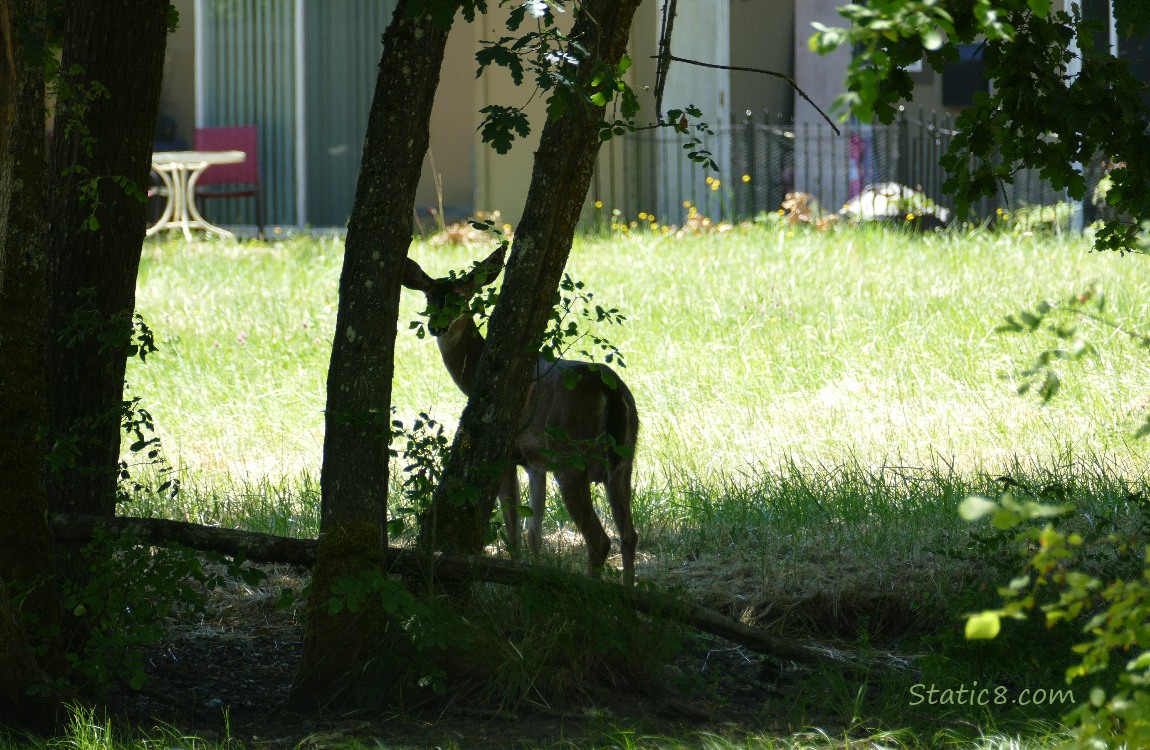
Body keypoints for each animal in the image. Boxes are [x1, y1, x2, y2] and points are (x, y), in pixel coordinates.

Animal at [401, 247, 639, 586]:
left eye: (461, 296)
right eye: (428, 297)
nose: (437, 326)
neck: (475, 377)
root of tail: (612, 392)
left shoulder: (505, 453)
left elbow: (513, 530)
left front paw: (513, 575)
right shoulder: (536, 463)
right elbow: (533, 532)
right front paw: (533, 575)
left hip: (571, 456)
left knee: (600, 540)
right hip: (625, 458)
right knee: (628, 535)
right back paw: (629, 590)